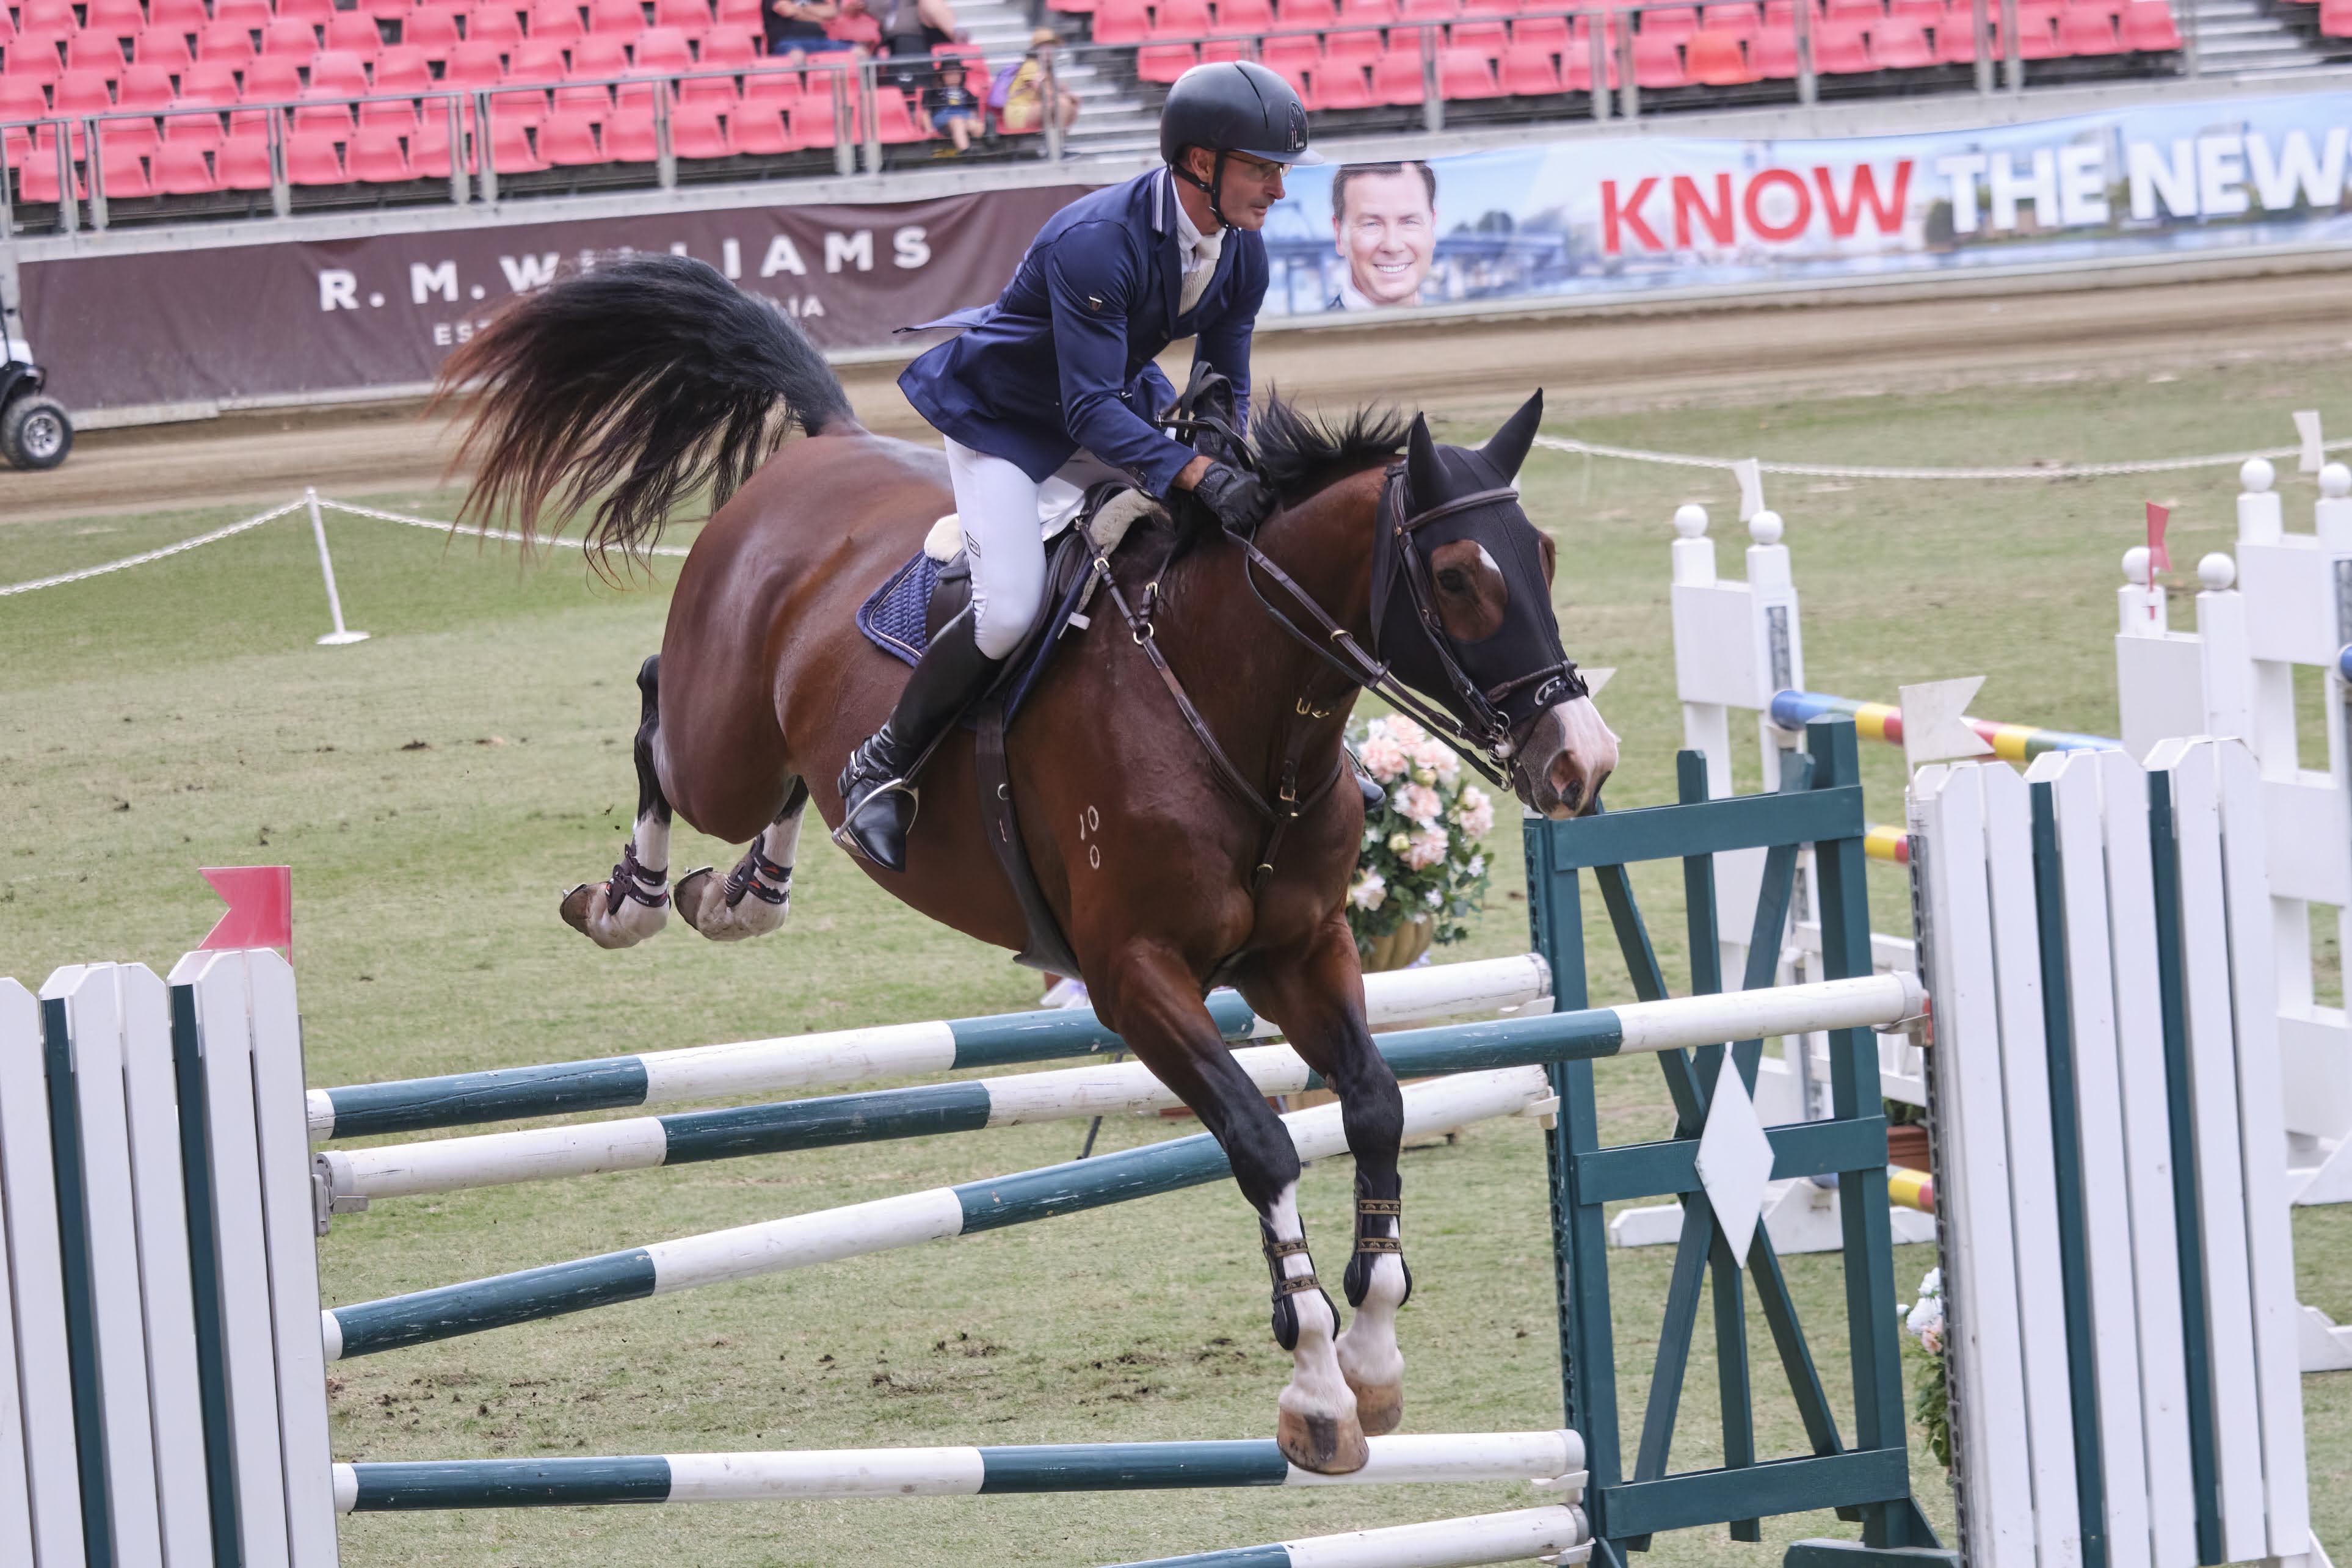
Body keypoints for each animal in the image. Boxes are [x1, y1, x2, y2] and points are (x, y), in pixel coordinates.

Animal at [437, 254, 1618, 1475]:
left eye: (1545, 557)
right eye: (1459, 577)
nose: (1581, 761)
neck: (1229, 700)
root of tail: (822, 446)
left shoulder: (1302, 949)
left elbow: (1377, 1106)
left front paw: (1375, 1357)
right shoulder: (1134, 975)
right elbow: (1258, 1138)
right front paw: (1316, 1380)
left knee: (791, 782)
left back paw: (752, 887)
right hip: (722, 740)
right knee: (656, 712)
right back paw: (630, 898)